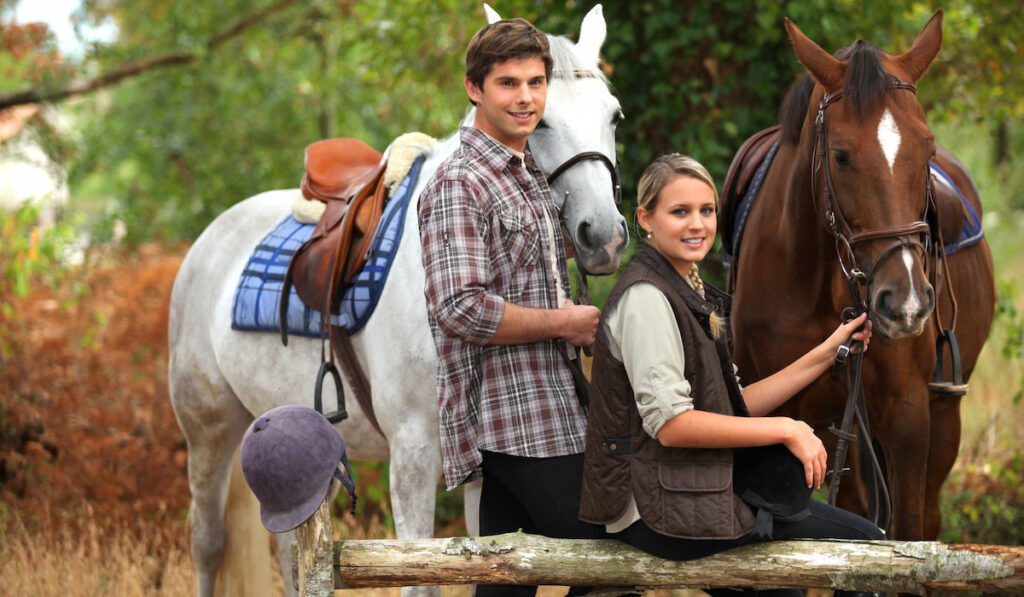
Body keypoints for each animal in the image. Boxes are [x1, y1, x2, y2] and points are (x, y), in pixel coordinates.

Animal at [167, 5, 622, 597]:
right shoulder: (413, 456)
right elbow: (418, 578)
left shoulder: (482, 467)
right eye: (539, 119)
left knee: (292, 554)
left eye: (613, 117)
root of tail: (205, 244)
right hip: (209, 431)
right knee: (207, 543)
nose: (604, 236)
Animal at [720, 10, 991, 540]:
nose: (905, 303)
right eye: (841, 156)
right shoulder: (780, 411)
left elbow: (906, 531)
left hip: (942, 415)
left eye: (926, 149)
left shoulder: (908, 416)